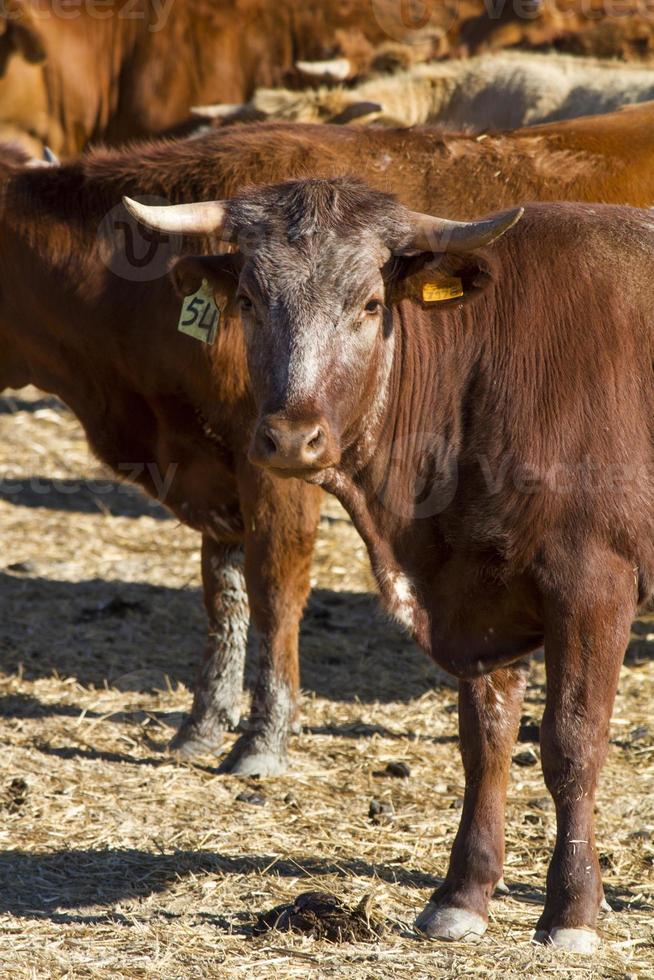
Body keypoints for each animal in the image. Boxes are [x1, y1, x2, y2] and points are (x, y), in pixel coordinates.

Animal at [133, 178, 654, 948]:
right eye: (250, 300)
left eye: (370, 304)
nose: (290, 437)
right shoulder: (478, 596)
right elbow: (485, 743)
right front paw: (462, 895)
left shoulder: (595, 586)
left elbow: (572, 744)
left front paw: (571, 910)